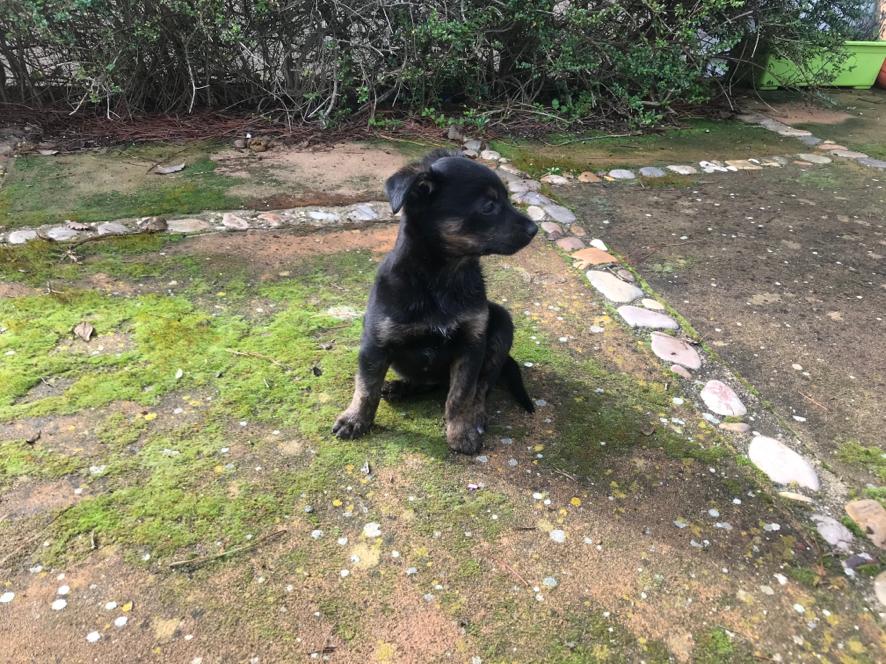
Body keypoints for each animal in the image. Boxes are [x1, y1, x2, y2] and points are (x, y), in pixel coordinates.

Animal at [332, 149, 538, 454]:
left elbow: (461, 394)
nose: (535, 229)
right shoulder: (375, 342)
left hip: (501, 322)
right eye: (488, 206)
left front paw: (461, 432)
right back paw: (400, 388)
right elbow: (366, 387)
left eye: (507, 198)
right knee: (425, 382)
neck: (442, 277)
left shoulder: (471, 345)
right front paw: (355, 419)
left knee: (482, 386)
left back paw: (476, 416)